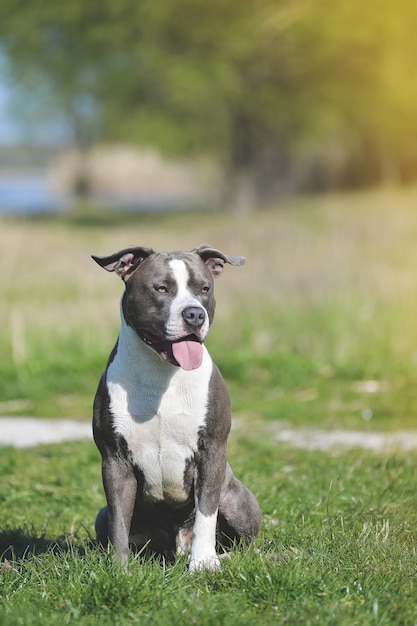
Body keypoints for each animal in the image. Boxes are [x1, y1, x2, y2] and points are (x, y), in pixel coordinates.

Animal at [91, 244, 260, 572]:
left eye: (204, 288)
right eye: (161, 288)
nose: (194, 314)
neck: (161, 372)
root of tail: (176, 545)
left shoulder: (211, 451)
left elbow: (206, 514)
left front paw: (203, 563)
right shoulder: (114, 460)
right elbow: (119, 521)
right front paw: (119, 570)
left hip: (237, 503)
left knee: (245, 543)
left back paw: (220, 556)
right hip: (100, 517)